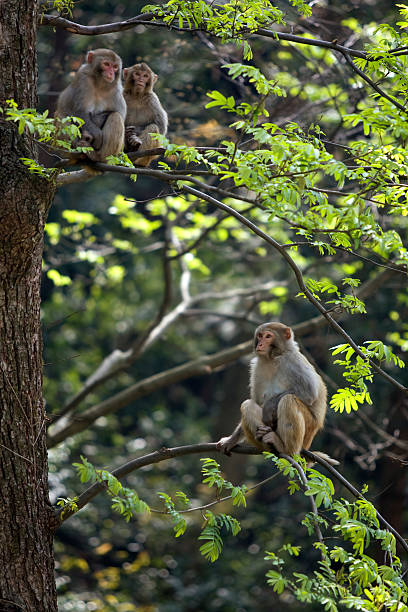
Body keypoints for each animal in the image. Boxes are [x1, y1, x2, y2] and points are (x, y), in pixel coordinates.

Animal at [218, 320, 340, 464]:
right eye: (260, 336)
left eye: (268, 336)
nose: (260, 344)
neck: (273, 357)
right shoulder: (257, 367)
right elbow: (256, 401)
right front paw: (230, 440)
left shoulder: (292, 360)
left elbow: (309, 393)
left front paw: (269, 406)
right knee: (247, 405)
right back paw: (264, 438)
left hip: (308, 432)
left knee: (288, 400)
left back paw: (285, 449)